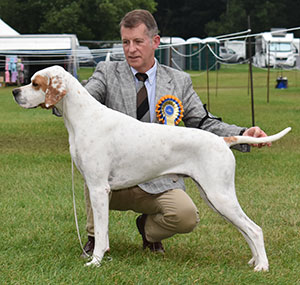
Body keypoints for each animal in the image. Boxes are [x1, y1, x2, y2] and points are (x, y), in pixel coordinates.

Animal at [12, 65, 290, 270]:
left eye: (35, 83)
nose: (15, 92)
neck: (82, 117)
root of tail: (223, 140)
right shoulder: (94, 188)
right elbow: (102, 231)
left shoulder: (98, 188)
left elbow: (101, 232)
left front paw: (96, 261)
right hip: (215, 198)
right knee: (246, 230)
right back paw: (254, 260)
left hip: (220, 196)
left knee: (255, 229)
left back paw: (263, 266)